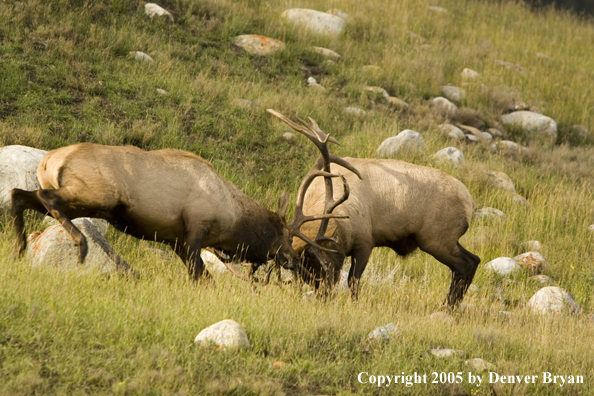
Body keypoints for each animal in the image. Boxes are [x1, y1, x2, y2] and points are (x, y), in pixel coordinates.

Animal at [266, 110, 478, 306]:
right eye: (303, 274)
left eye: (321, 263)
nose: (325, 294)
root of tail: (469, 201)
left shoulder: (365, 241)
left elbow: (353, 280)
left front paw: (354, 304)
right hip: (446, 239)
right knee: (473, 260)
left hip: (436, 239)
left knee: (465, 265)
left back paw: (448, 306)